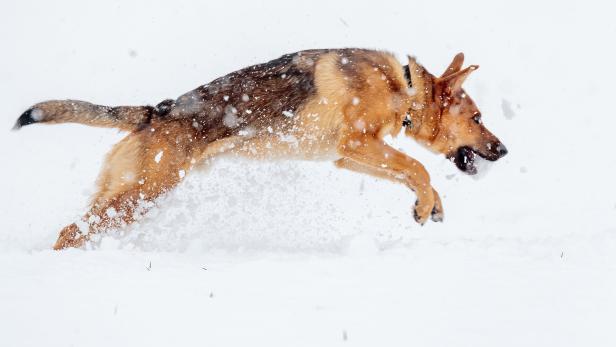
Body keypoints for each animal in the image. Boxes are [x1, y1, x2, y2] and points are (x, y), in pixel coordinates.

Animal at [13, 49, 506, 250]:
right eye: (478, 118)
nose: (504, 150)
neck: (401, 87)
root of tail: (155, 111)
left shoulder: (349, 154)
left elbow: (412, 171)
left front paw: (429, 205)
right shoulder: (357, 142)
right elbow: (418, 166)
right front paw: (425, 202)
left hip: (127, 195)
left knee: (76, 228)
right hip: (141, 196)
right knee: (68, 233)